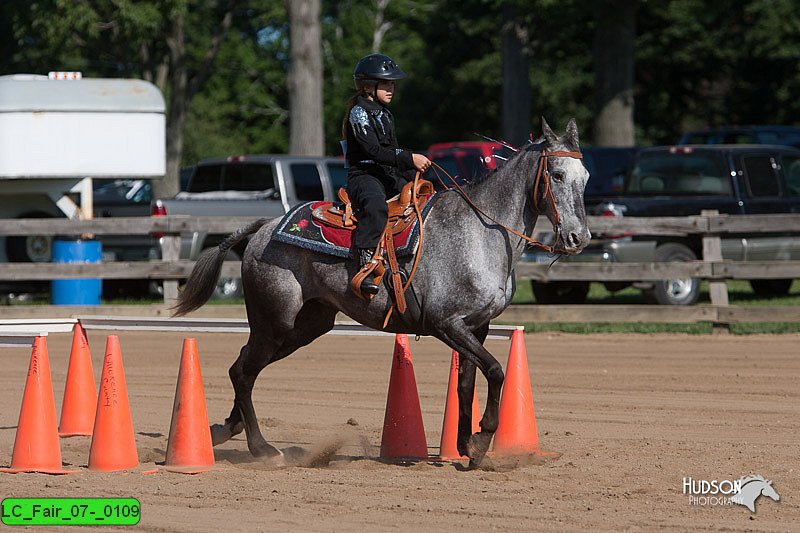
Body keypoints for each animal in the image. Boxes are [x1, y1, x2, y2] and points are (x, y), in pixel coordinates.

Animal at [173, 117, 588, 466]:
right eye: (556, 173)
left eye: (584, 177)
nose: (578, 238)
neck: (480, 233)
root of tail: (262, 228)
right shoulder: (447, 323)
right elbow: (497, 371)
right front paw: (483, 438)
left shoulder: (476, 326)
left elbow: (468, 383)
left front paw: (465, 446)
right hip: (274, 322)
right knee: (243, 371)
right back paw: (262, 448)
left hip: (304, 327)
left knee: (244, 367)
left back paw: (224, 429)